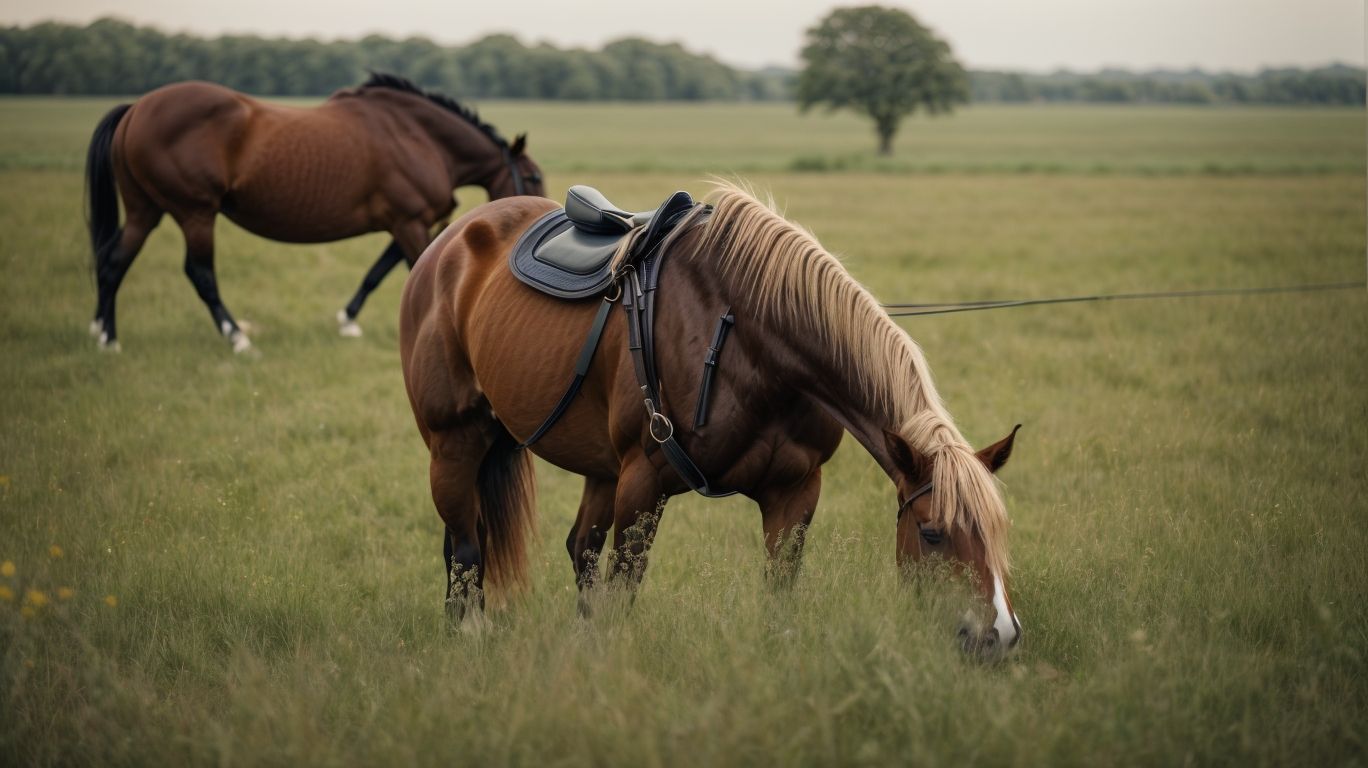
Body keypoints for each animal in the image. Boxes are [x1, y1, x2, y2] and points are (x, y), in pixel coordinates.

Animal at [83, 72, 545, 352]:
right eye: (534, 178)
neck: (416, 135)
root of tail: (136, 109)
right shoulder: (409, 221)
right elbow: (417, 272)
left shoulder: (406, 223)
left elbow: (378, 271)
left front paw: (347, 320)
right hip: (195, 213)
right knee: (200, 275)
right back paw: (237, 338)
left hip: (145, 210)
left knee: (113, 262)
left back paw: (105, 337)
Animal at [399, 181, 1022, 658]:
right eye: (933, 532)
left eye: (998, 530)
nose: (999, 636)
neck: (753, 338)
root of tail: (449, 243)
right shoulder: (643, 485)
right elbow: (624, 591)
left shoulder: (795, 491)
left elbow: (778, 596)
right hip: (455, 444)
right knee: (466, 549)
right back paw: (471, 638)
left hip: (596, 469)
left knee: (577, 551)